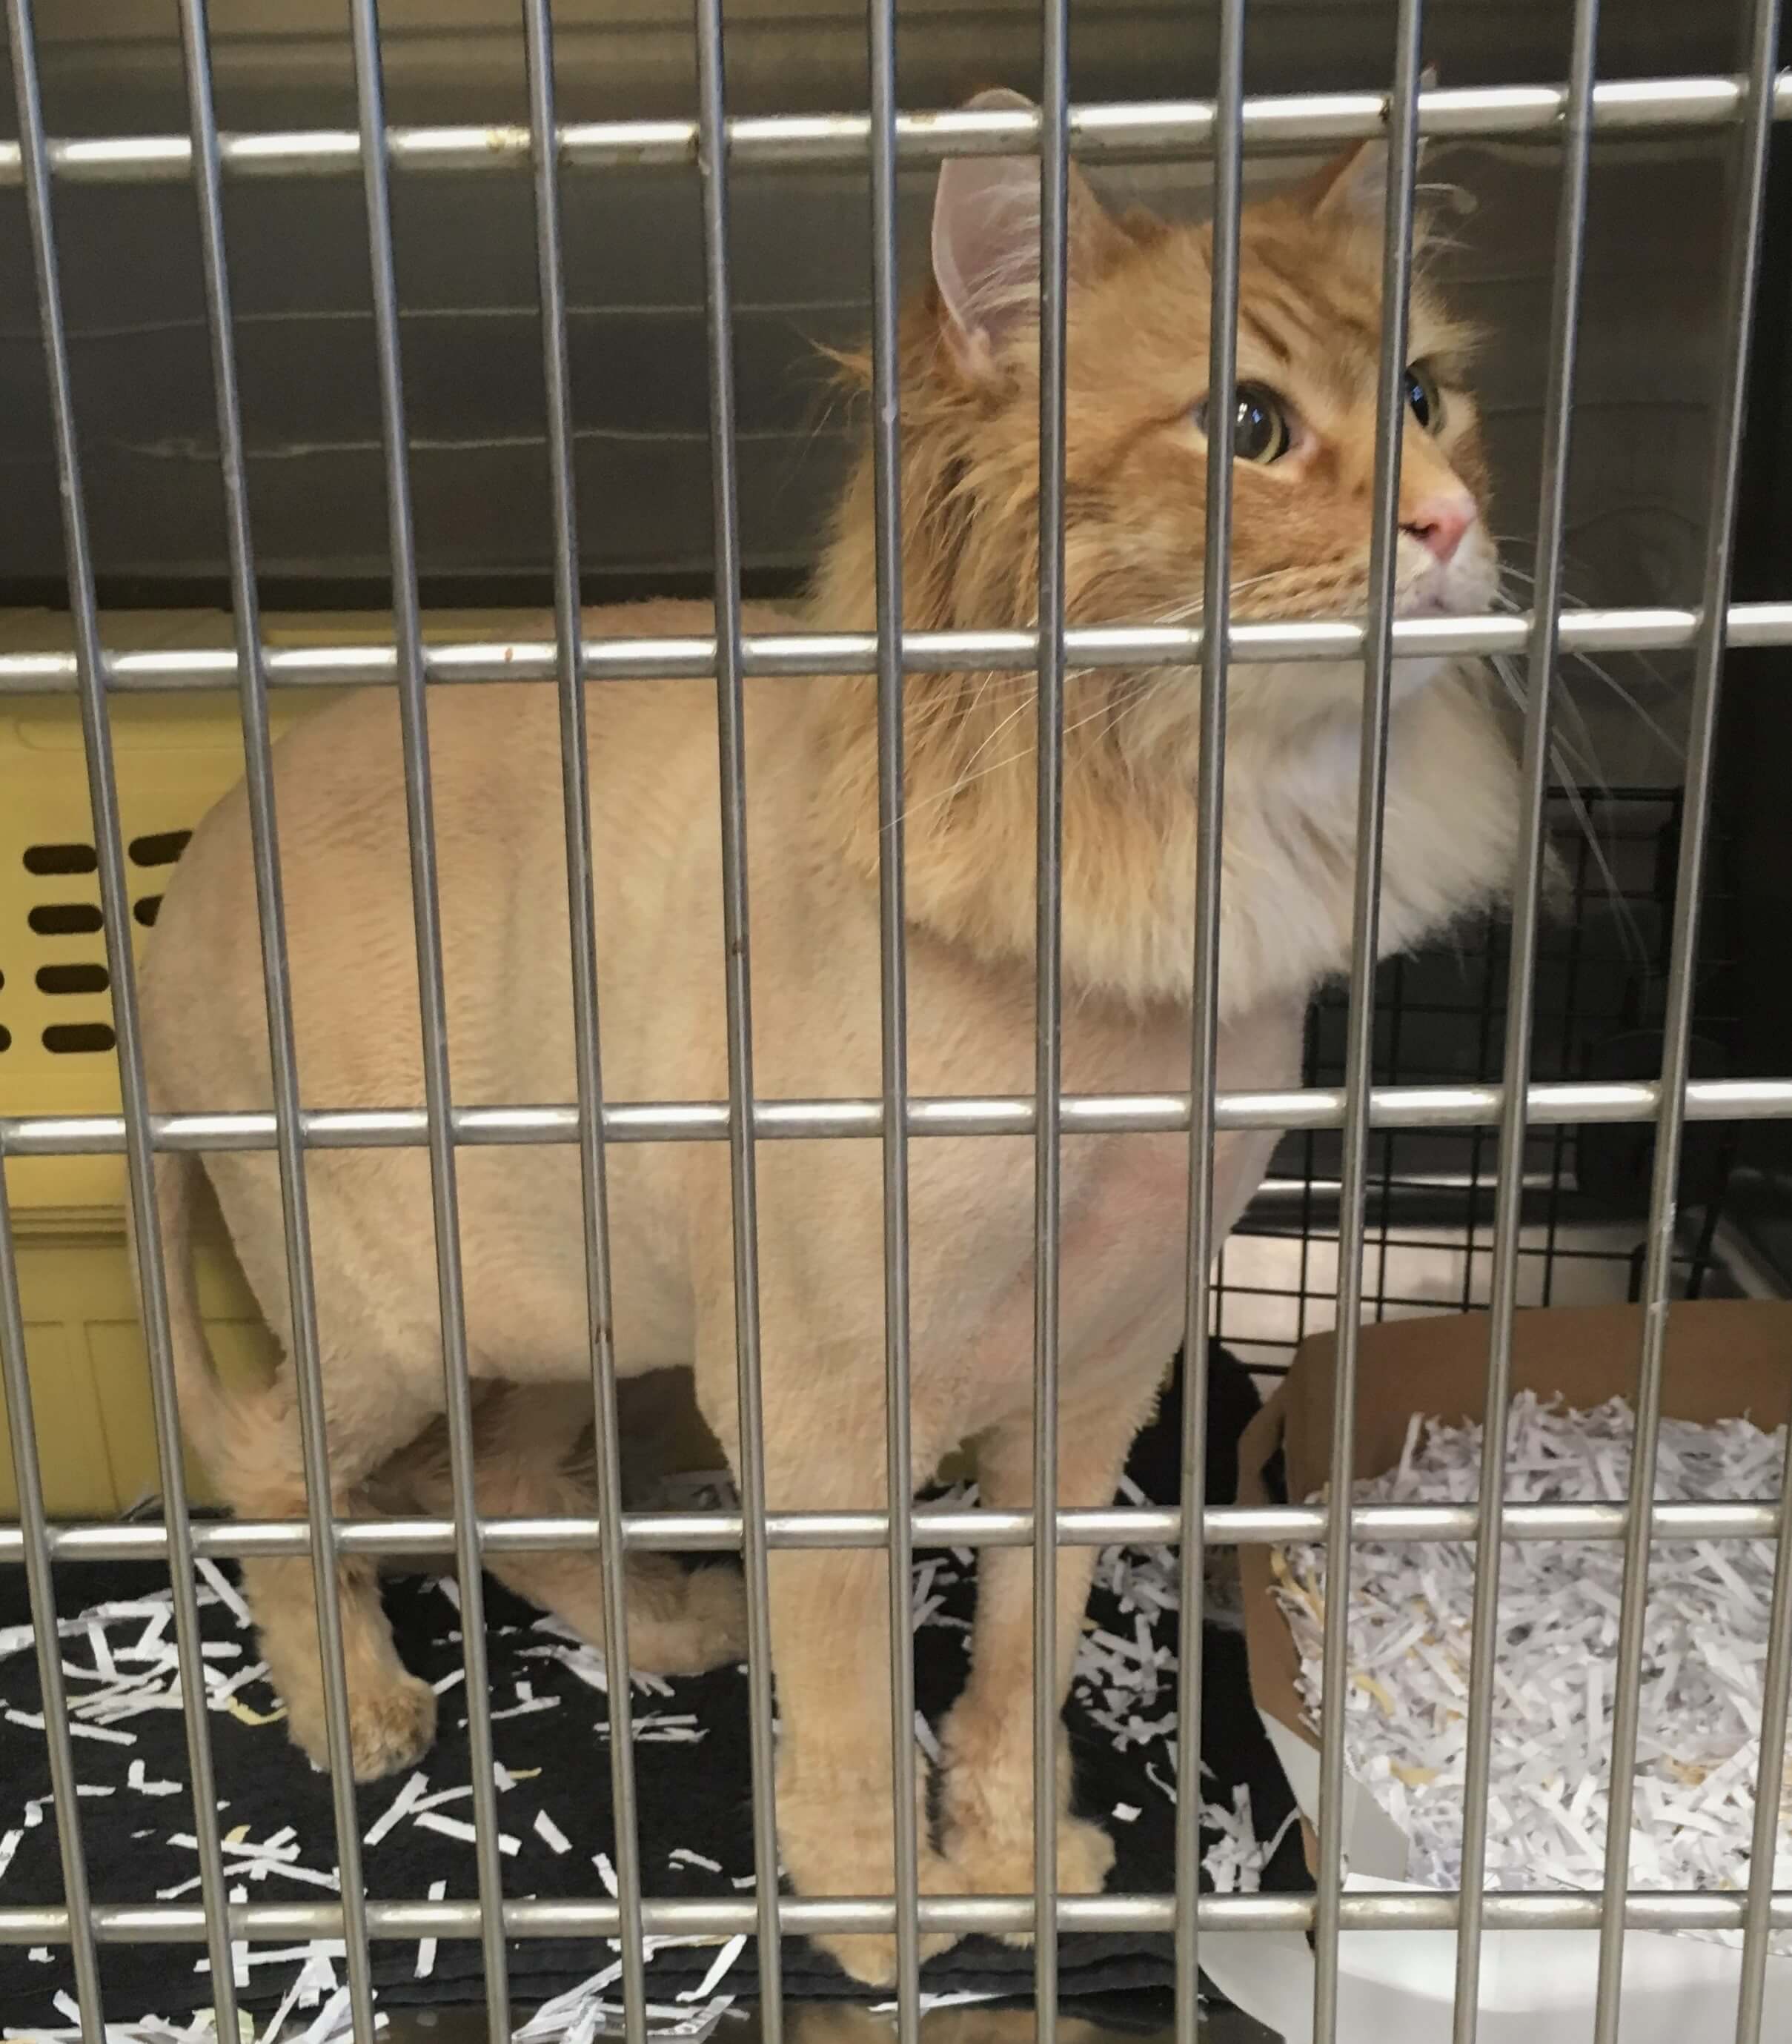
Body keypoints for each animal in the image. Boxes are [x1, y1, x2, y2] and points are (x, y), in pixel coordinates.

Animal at [133, 92, 1520, 1978]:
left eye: (1427, 399)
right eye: (1247, 425)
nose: (1452, 523)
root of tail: (181, 889)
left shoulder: (1102, 1368)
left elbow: (1021, 1652)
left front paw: (1015, 1854)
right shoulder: (818, 1394)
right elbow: (859, 1693)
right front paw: (883, 1915)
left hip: (584, 1315)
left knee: (497, 1475)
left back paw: (660, 1621)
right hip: (395, 1305)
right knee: (280, 1472)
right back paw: (354, 1701)